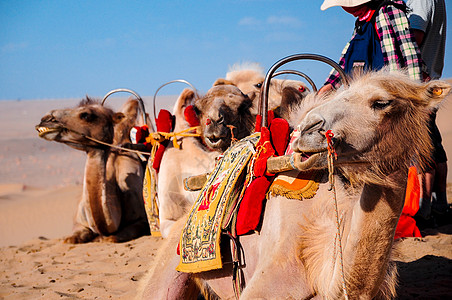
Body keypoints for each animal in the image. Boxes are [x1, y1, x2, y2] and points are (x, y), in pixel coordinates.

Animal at [35, 97, 148, 243]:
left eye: (86, 115)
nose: (46, 118)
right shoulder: (79, 221)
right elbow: (71, 239)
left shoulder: (142, 220)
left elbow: (113, 238)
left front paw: (103, 238)